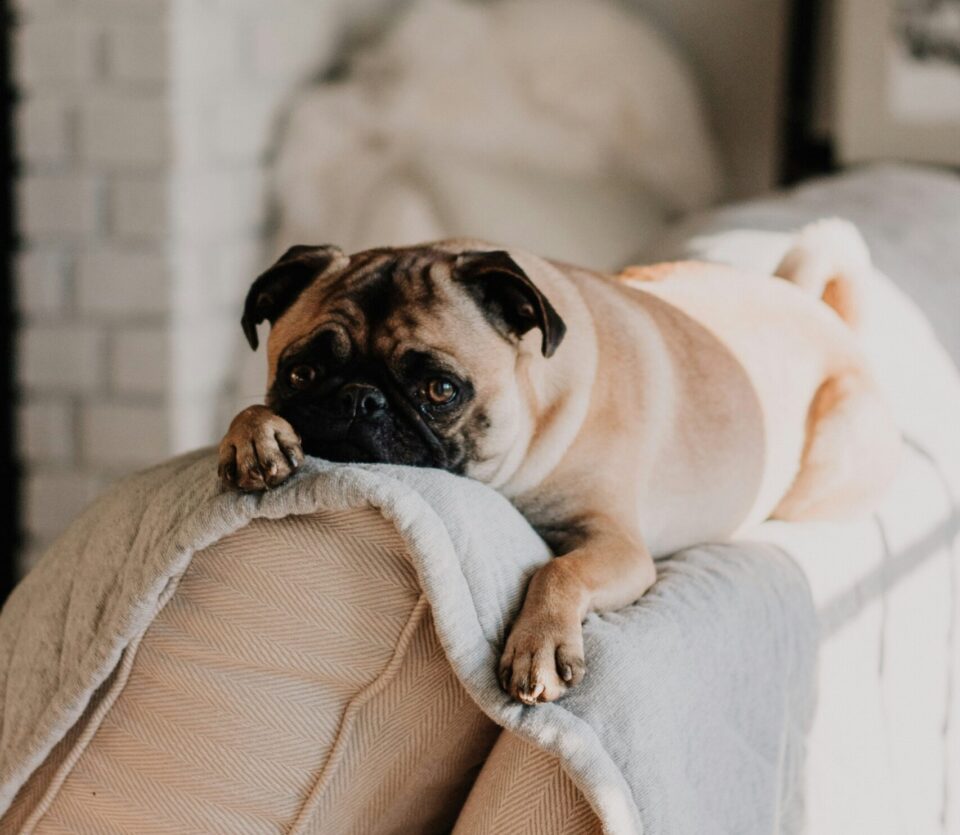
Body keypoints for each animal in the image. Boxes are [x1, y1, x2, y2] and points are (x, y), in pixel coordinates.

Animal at [218, 220, 900, 704]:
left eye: (441, 390)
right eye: (302, 373)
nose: (360, 400)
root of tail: (821, 311)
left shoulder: (618, 546)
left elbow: (558, 570)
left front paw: (539, 646)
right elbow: (250, 412)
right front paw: (254, 435)